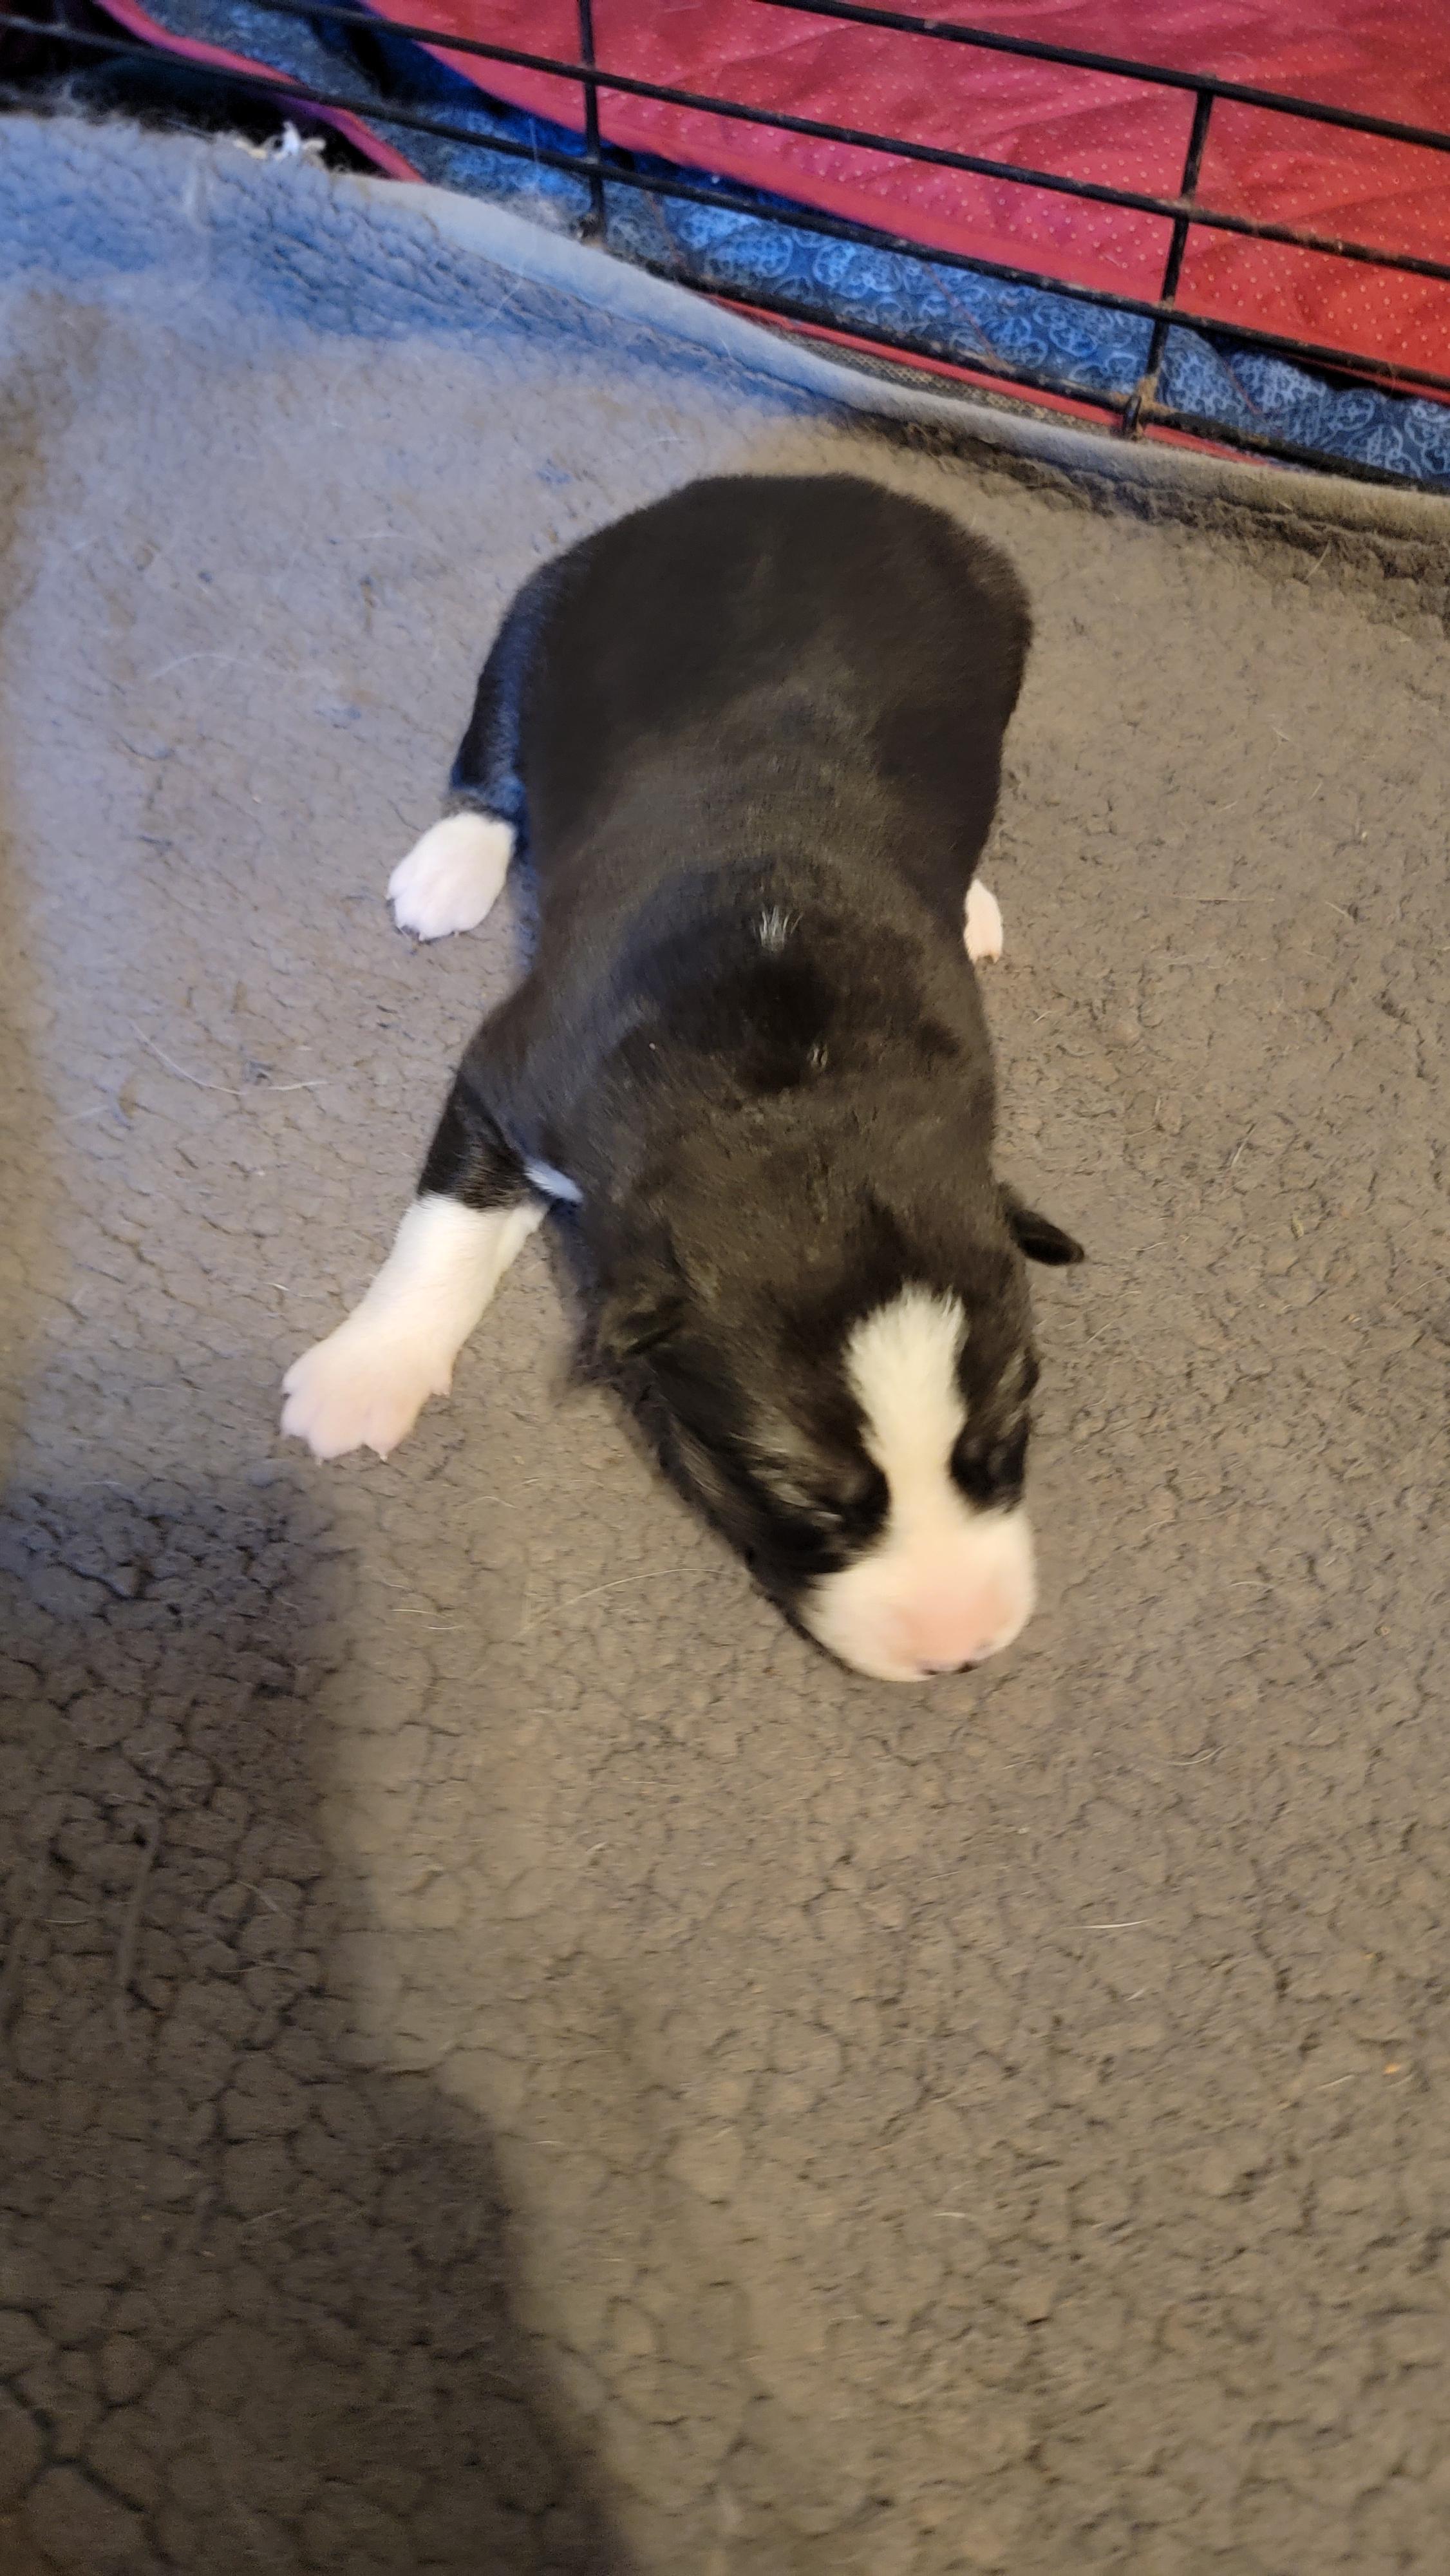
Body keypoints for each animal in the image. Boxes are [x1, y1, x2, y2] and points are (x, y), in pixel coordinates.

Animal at [281, 473, 1082, 1682]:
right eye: (804, 1500)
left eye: (1003, 1443)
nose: (960, 1653)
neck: (792, 1086)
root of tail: (802, 486)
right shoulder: (513, 1078)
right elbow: (447, 1229)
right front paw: (361, 1376)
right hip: (541, 614)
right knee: (490, 763)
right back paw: (448, 868)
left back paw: (976, 902)